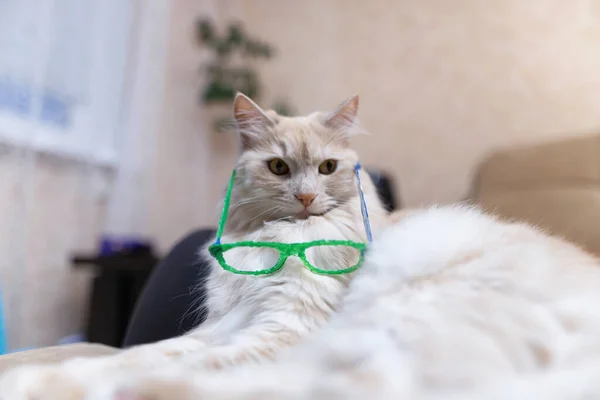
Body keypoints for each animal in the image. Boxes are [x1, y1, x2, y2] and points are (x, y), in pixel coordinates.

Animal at [0, 94, 390, 396]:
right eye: (278, 167)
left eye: (328, 167)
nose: (307, 198)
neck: (273, 239)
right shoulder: (220, 326)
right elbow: (144, 355)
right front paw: (42, 379)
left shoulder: (287, 327)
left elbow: (192, 365)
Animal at [16, 205, 600, 398]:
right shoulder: (223, 326)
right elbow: (149, 352)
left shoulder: (282, 330)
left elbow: (179, 362)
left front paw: (60, 380)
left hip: (404, 315)